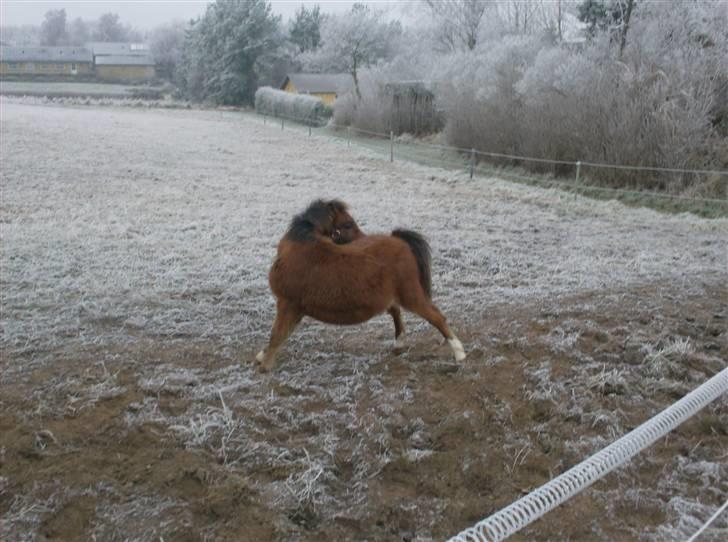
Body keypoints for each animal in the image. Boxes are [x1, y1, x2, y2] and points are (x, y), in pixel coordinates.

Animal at [255, 199, 466, 371]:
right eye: (348, 223)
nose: (362, 237)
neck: (298, 249)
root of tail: (399, 241)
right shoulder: (294, 309)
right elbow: (281, 333)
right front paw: (263, 356)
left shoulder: (287, 304)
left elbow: (276, 334)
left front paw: (265, 365)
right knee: (397, 312)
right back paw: (399, 344)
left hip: (411, 296)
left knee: (436, 317)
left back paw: (459, 353)